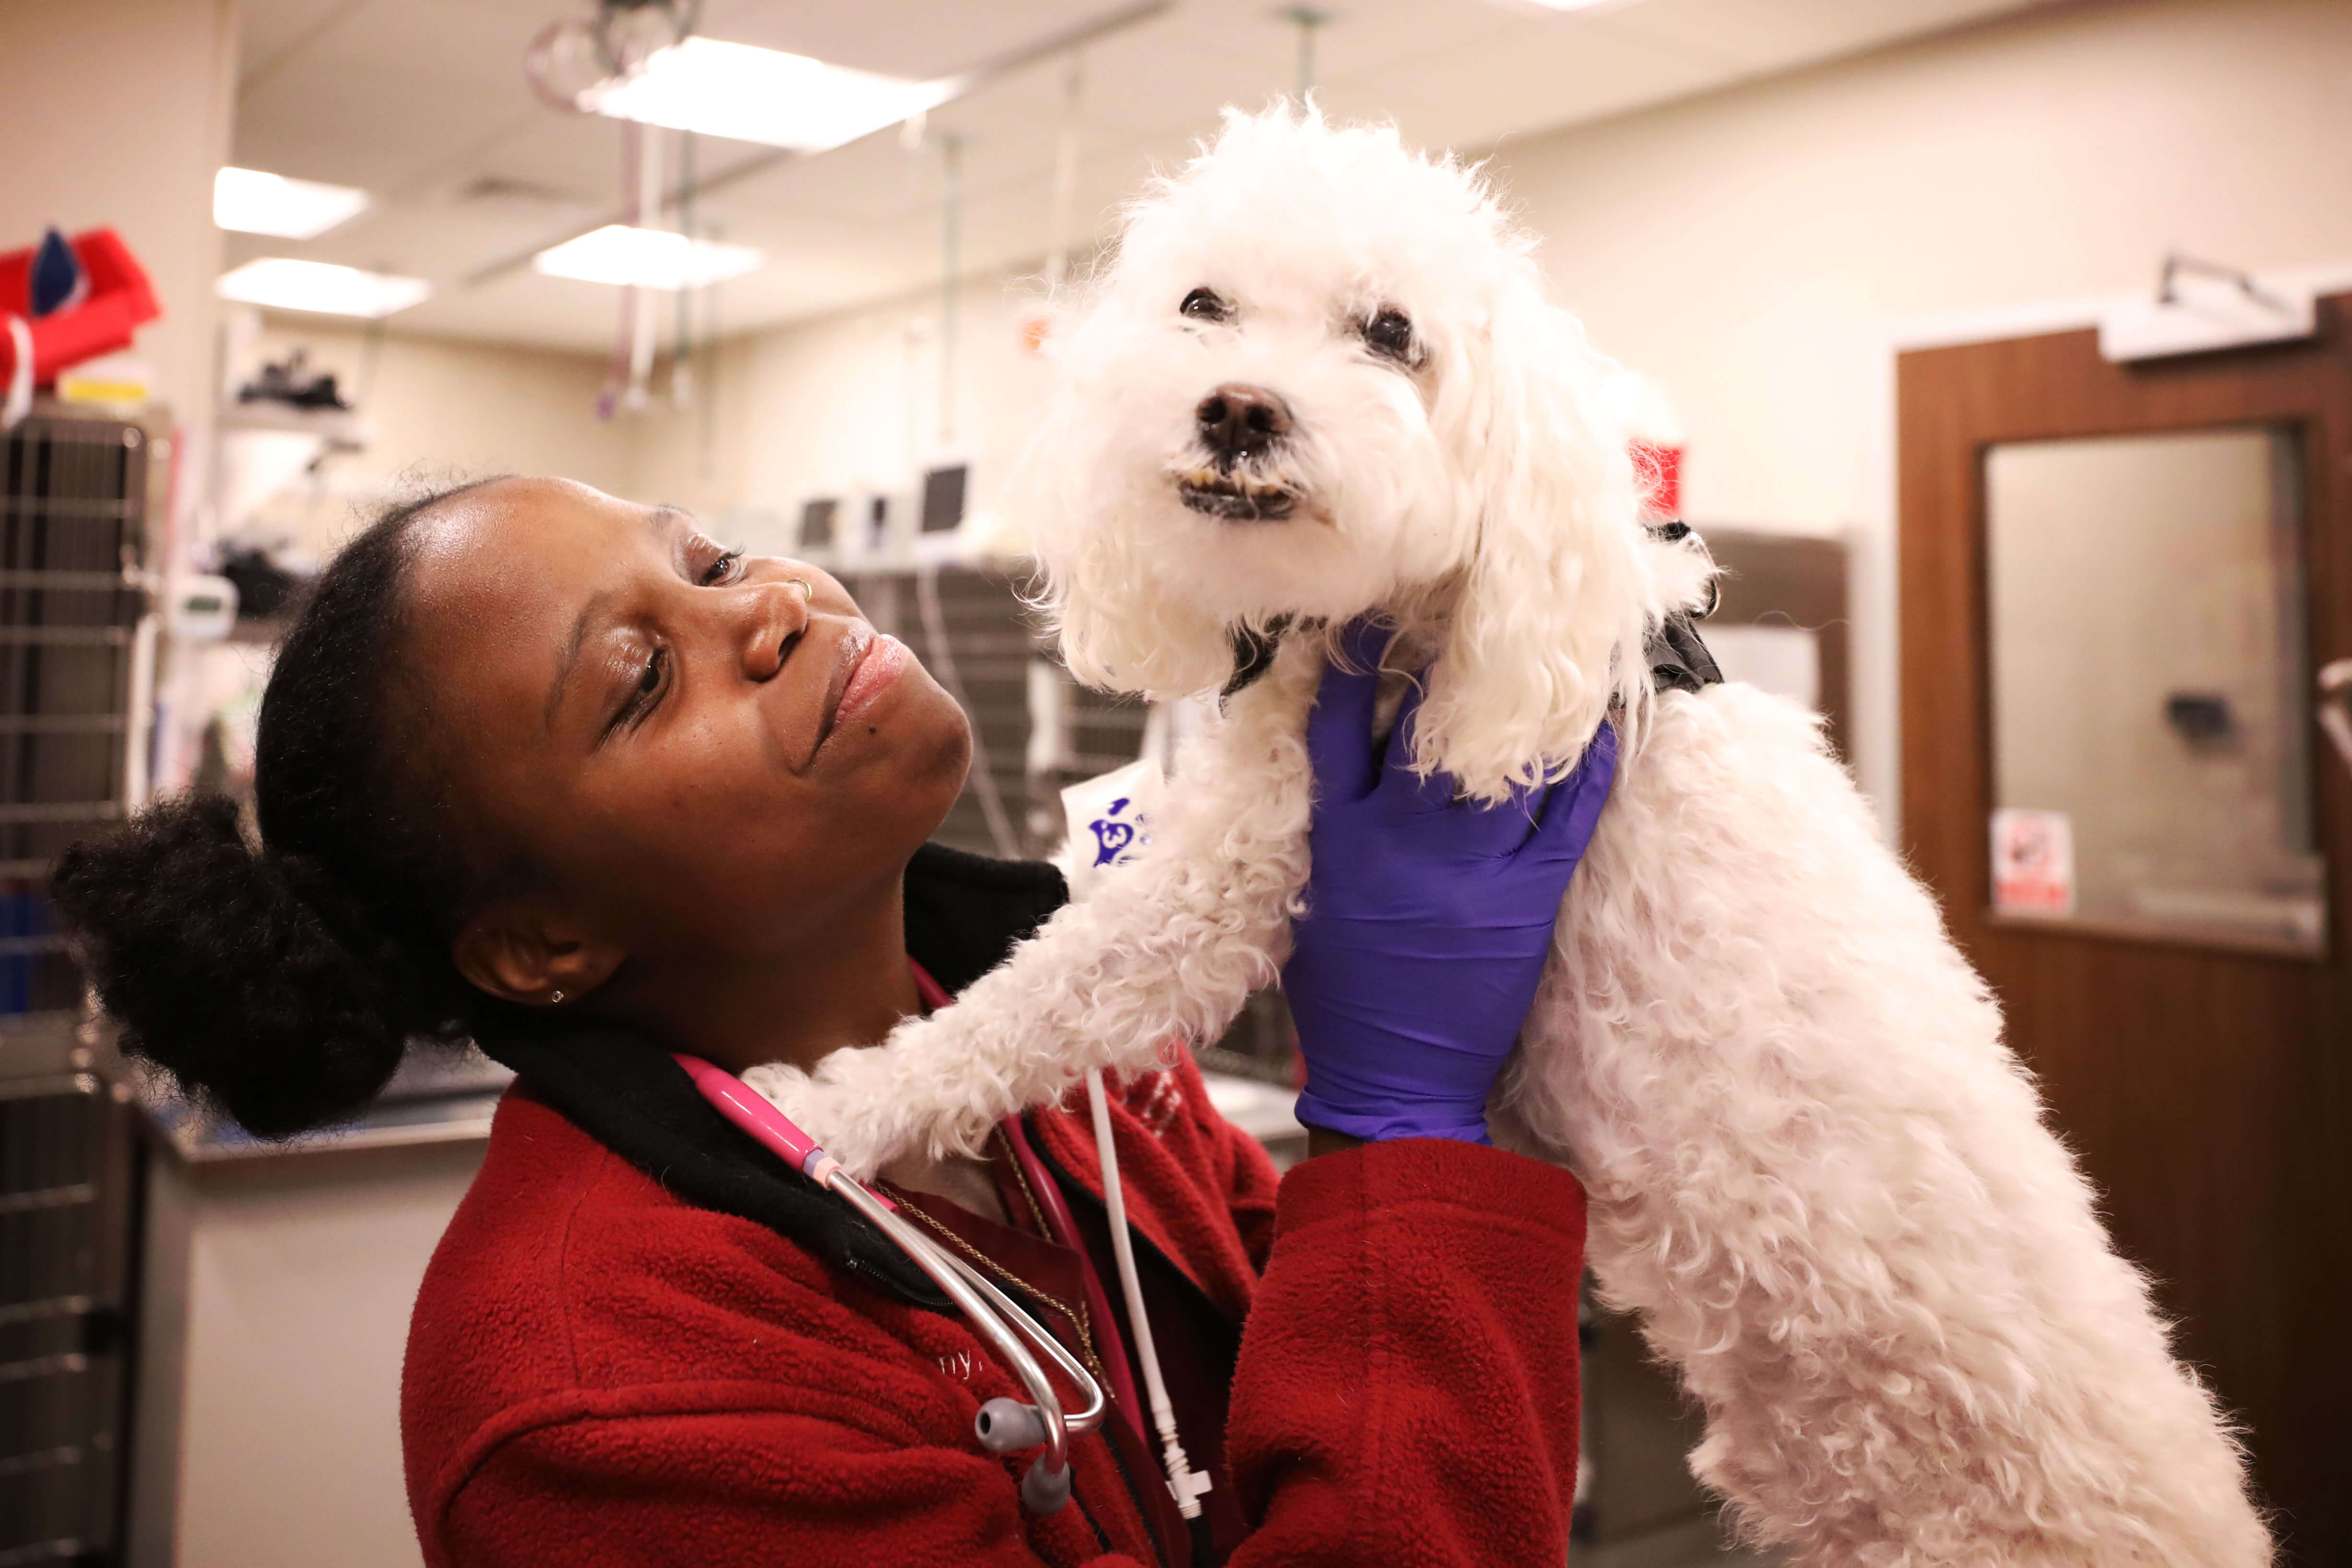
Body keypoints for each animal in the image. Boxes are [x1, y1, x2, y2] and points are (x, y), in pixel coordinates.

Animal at [748, 104, 2257, 1561]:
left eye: (1389, 334)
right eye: (1200, 305)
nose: (1238, 408)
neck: (1425, 613)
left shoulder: (1236, 880)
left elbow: (1027, 1003)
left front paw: (825, 1105)